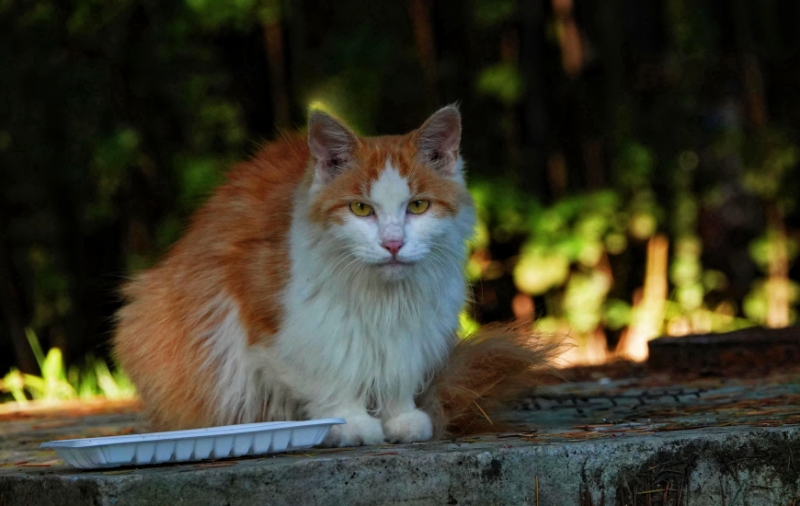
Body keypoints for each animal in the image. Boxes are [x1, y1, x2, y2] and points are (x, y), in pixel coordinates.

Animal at [112, 105, 552, 444]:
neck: (380, 299)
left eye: (418, 206)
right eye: (361, 208)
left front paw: (400, 417)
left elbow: (396, 372)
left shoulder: (413, 325)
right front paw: (351, 422)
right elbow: (332, 374)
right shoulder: (285, 327)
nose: (393, 243)